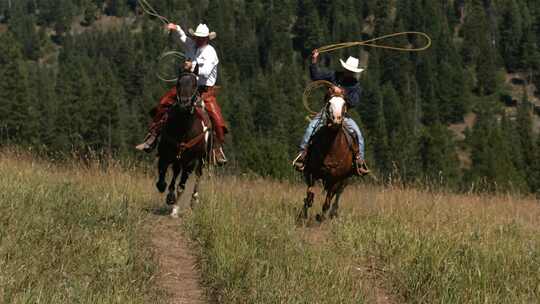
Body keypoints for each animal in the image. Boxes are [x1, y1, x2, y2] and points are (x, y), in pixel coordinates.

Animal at [155, 72, 212, 217]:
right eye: (178, 83)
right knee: (175, 172)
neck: (183, 128)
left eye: (194, 84)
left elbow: (182, 185)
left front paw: (175, 210)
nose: (184, 103)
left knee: (197, 176)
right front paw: (169, 195)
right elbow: (162, 179)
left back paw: (193, 200)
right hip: (178, 159)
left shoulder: (190, 162)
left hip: (201, 160)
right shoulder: (165, 155)